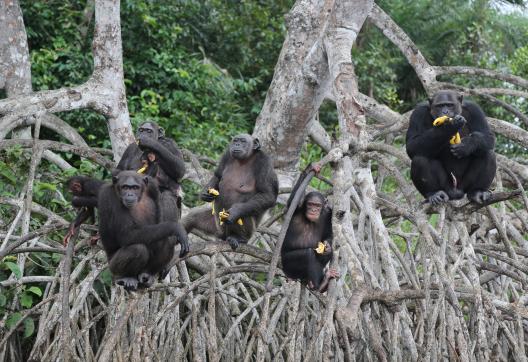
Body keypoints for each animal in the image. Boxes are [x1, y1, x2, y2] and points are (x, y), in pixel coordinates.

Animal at [280, 163, 338, 292]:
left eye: (317, 205)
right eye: (310, 204)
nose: (313, 210)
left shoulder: (328, 214)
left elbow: (328, 234)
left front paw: (327, 247)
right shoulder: (297, 208)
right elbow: (291, 203)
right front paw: (310, 168)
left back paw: (323, 282)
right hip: (287, 265)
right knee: (308, 254)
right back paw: (317, 286)